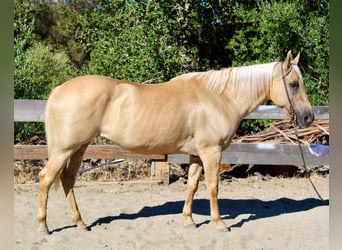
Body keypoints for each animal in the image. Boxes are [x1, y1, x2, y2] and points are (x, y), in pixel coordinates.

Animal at [36, 50, 312, 232]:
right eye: (293, 84)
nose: (308, 117)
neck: (219, 97)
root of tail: (59, 89)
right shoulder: (211, 152)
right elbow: (213, 186)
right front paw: (219, 222)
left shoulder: (196, 154)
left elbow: (192, 185)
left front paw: (189, 220)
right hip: (64, 149)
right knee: (46, 178)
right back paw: (44, 226)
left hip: (78, 148)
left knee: (67, 180)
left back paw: (80, 223)